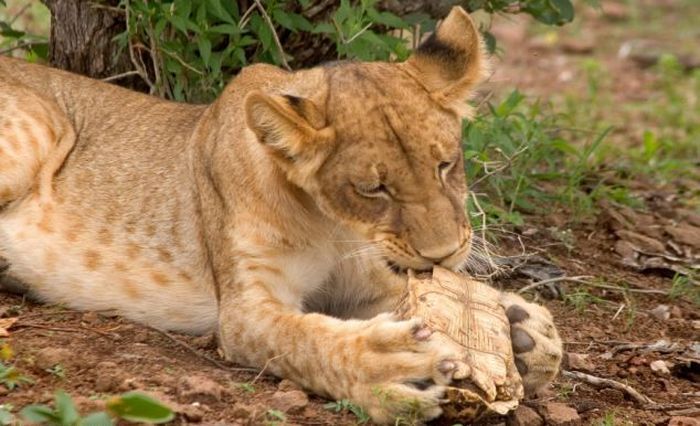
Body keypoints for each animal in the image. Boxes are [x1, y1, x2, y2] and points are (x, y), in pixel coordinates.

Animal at [0, 7, 560, 422]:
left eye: (446, 164)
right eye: (373, 189)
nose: (445, 254)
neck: (332, 224)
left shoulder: (355, 281)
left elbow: (401, 295)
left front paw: (522, 331)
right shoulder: (245, 310)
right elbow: (305, 340)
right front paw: (392, 369)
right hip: (36, 131)